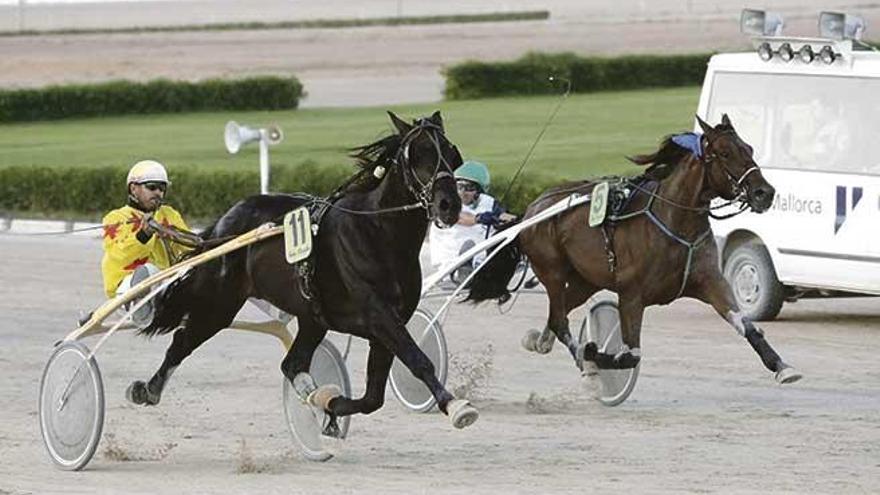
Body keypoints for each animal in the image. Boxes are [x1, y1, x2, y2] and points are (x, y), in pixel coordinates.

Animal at [127, 111, 478, 430]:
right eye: (416, 154)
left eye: (451, 153)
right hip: (219, 304)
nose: (449, 205)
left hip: (312, 316)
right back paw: (147, 389)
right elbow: (418, 360)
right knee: (182, 340)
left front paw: (330, 406)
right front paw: (455, 406)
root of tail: (224, 223)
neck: (379, 232)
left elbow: (372, 397)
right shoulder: (379, 315)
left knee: (292, 364)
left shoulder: (388, 323)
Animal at [470, 115, 800, 384]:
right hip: (551, 269)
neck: (676, 223)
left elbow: (747, 326)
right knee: (560, 318)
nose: (764, 193)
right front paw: (595, 354)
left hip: (585, 280)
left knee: (557, 314)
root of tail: (532, 209)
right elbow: (631, 354)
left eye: (750, 149)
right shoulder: (631, 294)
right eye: (725, 153)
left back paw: (540, 341)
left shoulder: (710, 281)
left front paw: (782, 367)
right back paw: (580, 356)